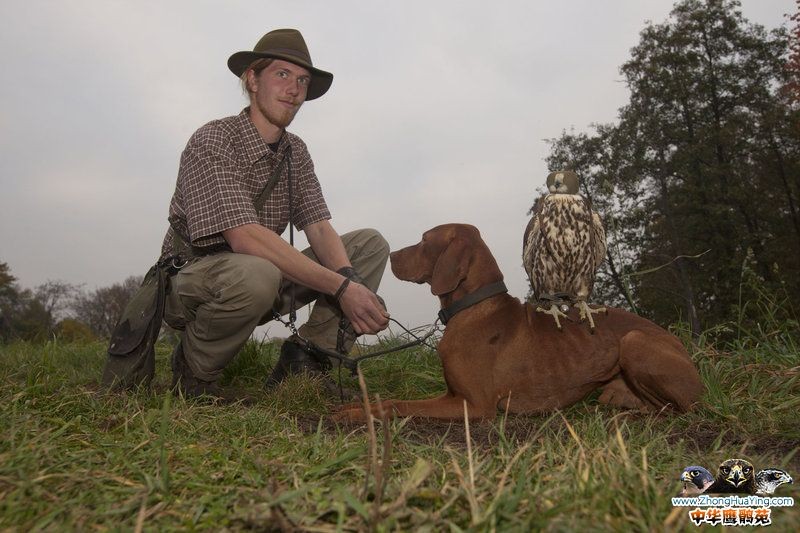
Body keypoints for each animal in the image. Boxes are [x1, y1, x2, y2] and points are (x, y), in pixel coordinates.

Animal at [334, 223, 704, 420]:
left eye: (425, 240)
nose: (393, 256)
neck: (472, 306)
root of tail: (683, 347)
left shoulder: (475, 405)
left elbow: (397, 404)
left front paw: (353, 413)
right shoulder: (453, 393)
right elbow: (386, 399)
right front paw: (354, 404)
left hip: (634, 341)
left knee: (675, 409)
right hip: (612, 389)